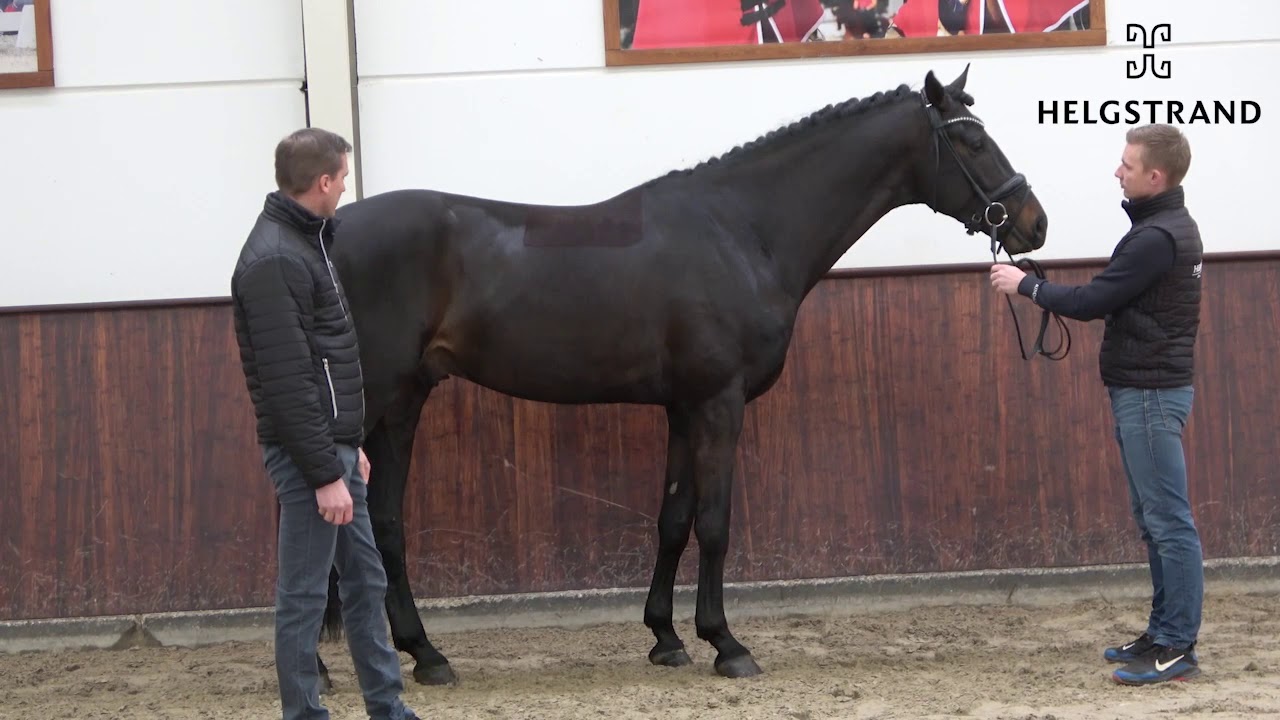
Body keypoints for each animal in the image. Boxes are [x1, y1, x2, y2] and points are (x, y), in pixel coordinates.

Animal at [315, 65, 1048, 687]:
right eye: (973, 140)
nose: (1034, 223)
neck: (742, 230)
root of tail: (319, 235)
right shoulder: (720, 403)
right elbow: (716, 522)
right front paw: (726, 643)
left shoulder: (682, 408)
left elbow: (672, 518)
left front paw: (666, 638)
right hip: (373, 397)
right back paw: (349, 666)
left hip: (401, 400)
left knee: (377, 522)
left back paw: (417, 654)